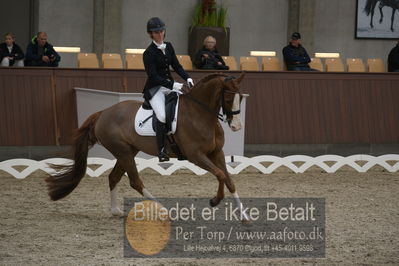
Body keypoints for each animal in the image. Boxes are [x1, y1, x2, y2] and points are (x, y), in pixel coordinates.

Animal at [46, 72, 250, 220]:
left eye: (241, 97)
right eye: (228, 99)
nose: (237, 126)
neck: (200, 114)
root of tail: (103, 113)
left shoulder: (217, 153)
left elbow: (229, 179)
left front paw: (244, 215)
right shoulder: (196, 156)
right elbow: (220, 174)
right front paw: (215, 200)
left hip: (127, 152)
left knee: (114, 177)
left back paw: (116, 211)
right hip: (123, 152)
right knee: (135, 181)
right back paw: (166, 211)